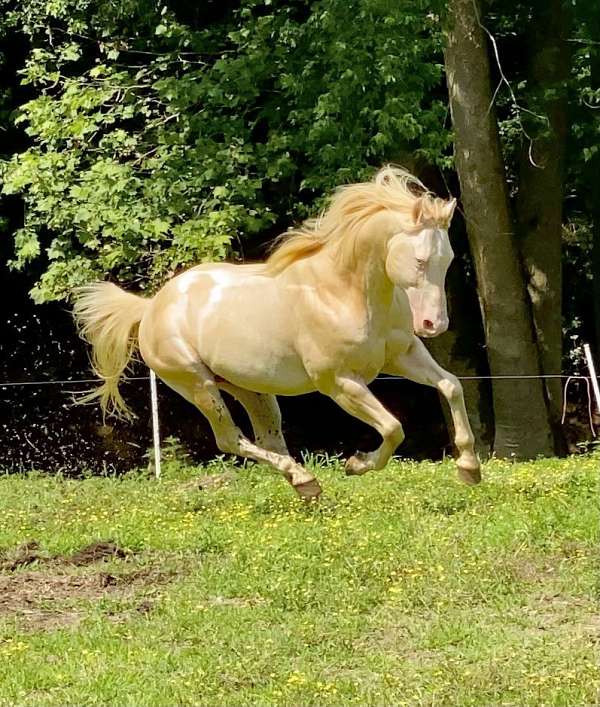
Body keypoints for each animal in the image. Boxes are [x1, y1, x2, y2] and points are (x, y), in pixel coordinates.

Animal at [73, 166, 480, 499]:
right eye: (420, 261)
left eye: (448, 260)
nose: (434, 325)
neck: (343, 292)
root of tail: (152, 307)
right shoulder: (339, 383)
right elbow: (394, 428)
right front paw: (357, 464)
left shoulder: (402, 356)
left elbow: (451, 386)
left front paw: (469, 468)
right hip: (197, 385)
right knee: (231, 439)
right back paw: (305, 480)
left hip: (251, 389)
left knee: (267, 438)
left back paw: (303, 483)